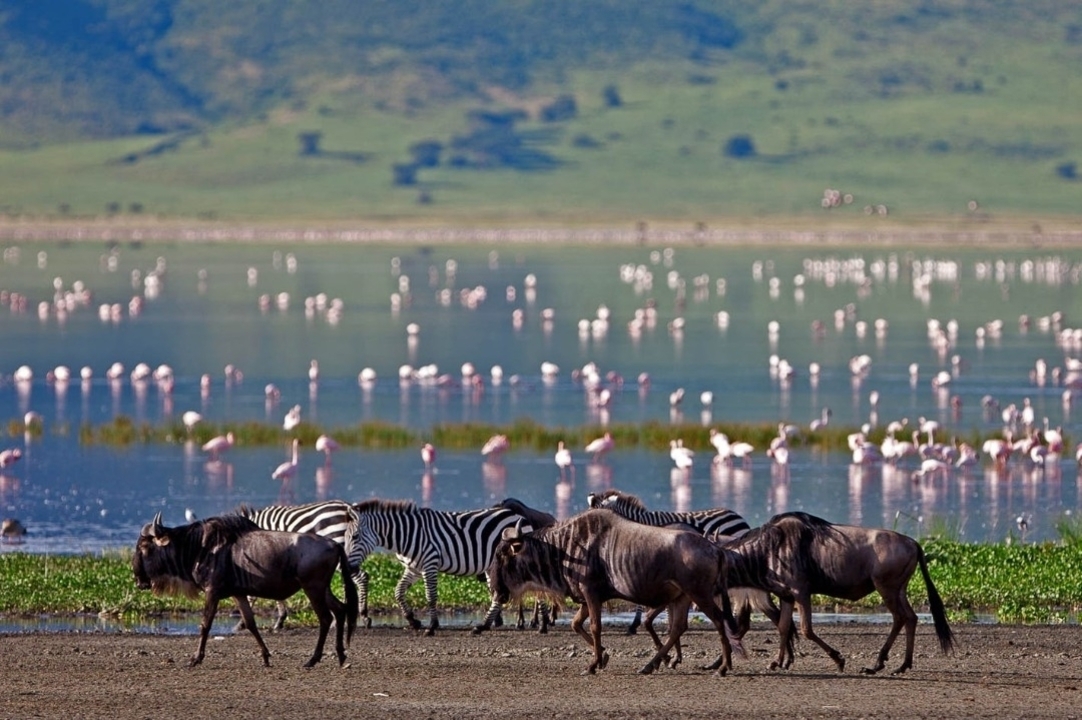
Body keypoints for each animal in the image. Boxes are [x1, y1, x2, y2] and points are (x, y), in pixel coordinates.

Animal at [346, 498, 534, 636]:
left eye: (355, 537)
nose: (347, 567)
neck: (406, 534)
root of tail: (518, 516)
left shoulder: (430, 563)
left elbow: (431, 596)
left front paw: (432, 626)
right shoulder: (413, 568)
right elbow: (398, 591)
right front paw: (413, 620)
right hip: (492, 566)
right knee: (498, 594)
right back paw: (483, 626)